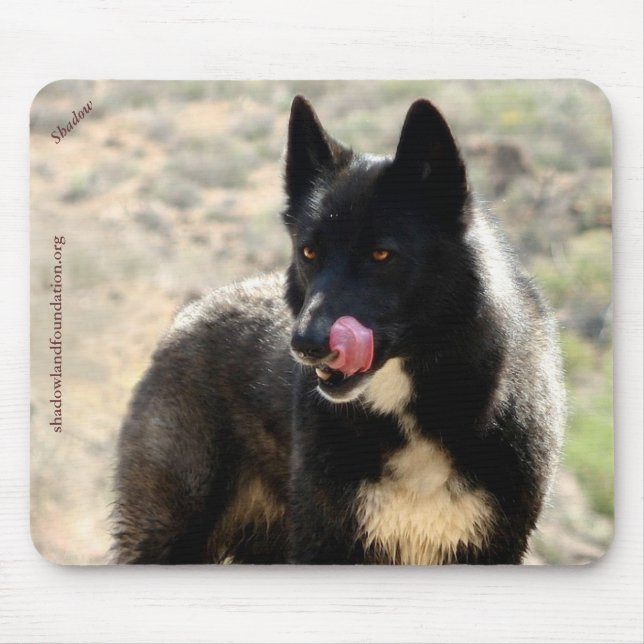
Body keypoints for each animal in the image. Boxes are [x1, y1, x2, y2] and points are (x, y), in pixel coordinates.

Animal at [112, 95, 565, 564]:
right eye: (309, 252)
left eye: (381, 255)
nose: (305, 345)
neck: (413, 405)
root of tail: (188, 313)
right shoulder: (329, 543)